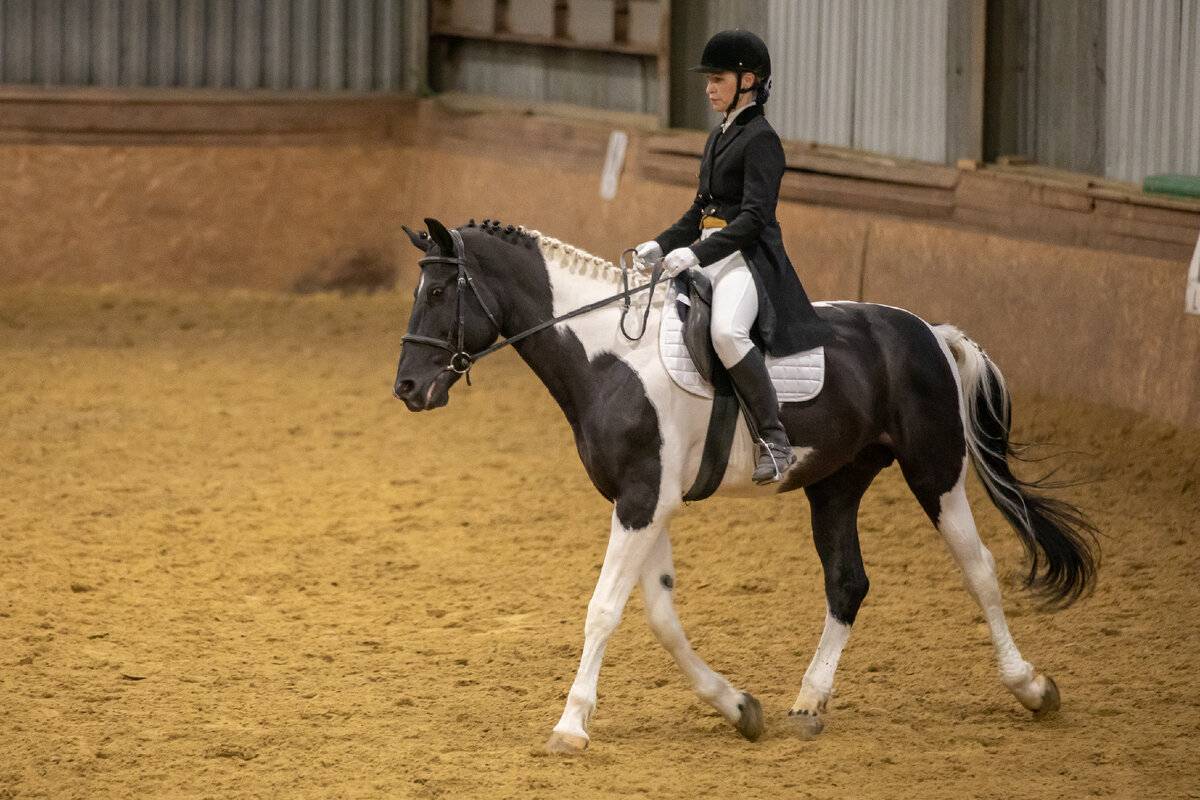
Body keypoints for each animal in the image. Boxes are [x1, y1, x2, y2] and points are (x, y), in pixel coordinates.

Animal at [391, 217, 1099, 753]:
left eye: (439, 292)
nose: (406, 388)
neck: (607, 355)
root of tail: (927, 330)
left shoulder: (643, 500)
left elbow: (604, 609)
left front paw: (570, 726)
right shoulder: (647, 502)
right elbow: (661, 616)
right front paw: (737, 708)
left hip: (936, 471)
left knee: (978, 569)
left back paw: (1031, 687)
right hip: (835, 484)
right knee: (847, 583)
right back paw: (809, 702)